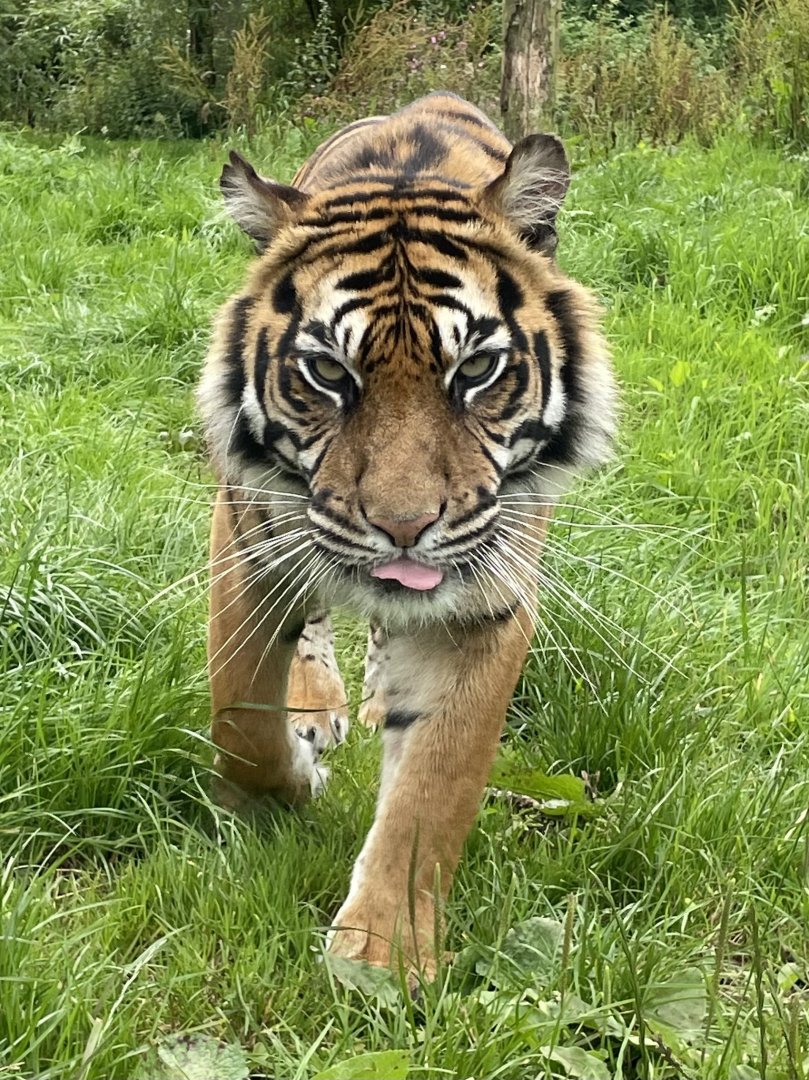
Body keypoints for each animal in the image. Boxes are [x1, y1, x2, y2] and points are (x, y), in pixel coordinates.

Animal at [197, 92, 616, 980]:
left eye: (476, 371)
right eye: (328, 373)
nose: (403, 527)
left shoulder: (484, 597)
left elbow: (434, 785)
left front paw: (380, 957)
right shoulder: (248, 545)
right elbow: (241, 717)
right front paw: (288, 788)